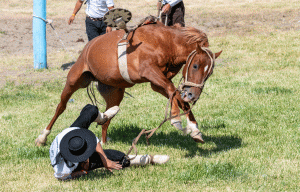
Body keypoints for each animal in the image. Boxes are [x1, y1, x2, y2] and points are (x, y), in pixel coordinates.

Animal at [35, 21, 223, 146]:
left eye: (210, 72)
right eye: (196, 65)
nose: (193, 95)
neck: (165, 42)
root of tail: (88, 47)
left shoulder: (157, 82)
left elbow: (176, 95)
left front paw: (195, 129)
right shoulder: (150, 72)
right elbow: (173, 91)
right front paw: (176, 119)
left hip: (114, 92)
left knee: (107, 116)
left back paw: (103, 134)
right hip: (75, 80)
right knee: (61, 107)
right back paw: (43, 137)